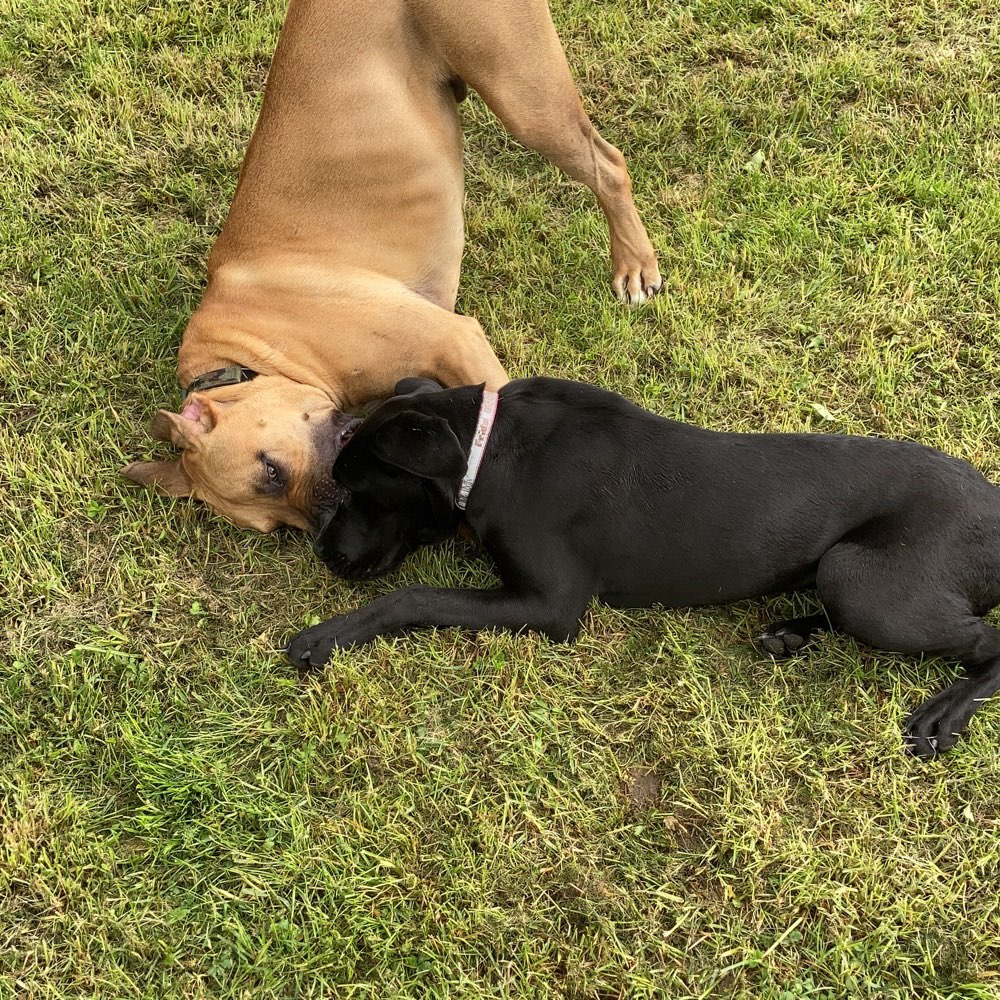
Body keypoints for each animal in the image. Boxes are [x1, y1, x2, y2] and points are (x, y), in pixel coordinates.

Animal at [121, 0, 660, 532]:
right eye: (277, 527)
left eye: (270, 471)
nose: (324, 520)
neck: (253, 353)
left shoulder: (455, 339)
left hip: (522, 94)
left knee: (607, 164)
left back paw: (633, 262)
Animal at [286, 378, 1000, 752]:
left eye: (357, 488)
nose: (325, 551)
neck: (489, 452)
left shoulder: (551, 604)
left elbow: (411, 597)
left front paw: (323, 637)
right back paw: (790, 631)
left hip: (858, 576)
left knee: (985, 640)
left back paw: (946, 712)